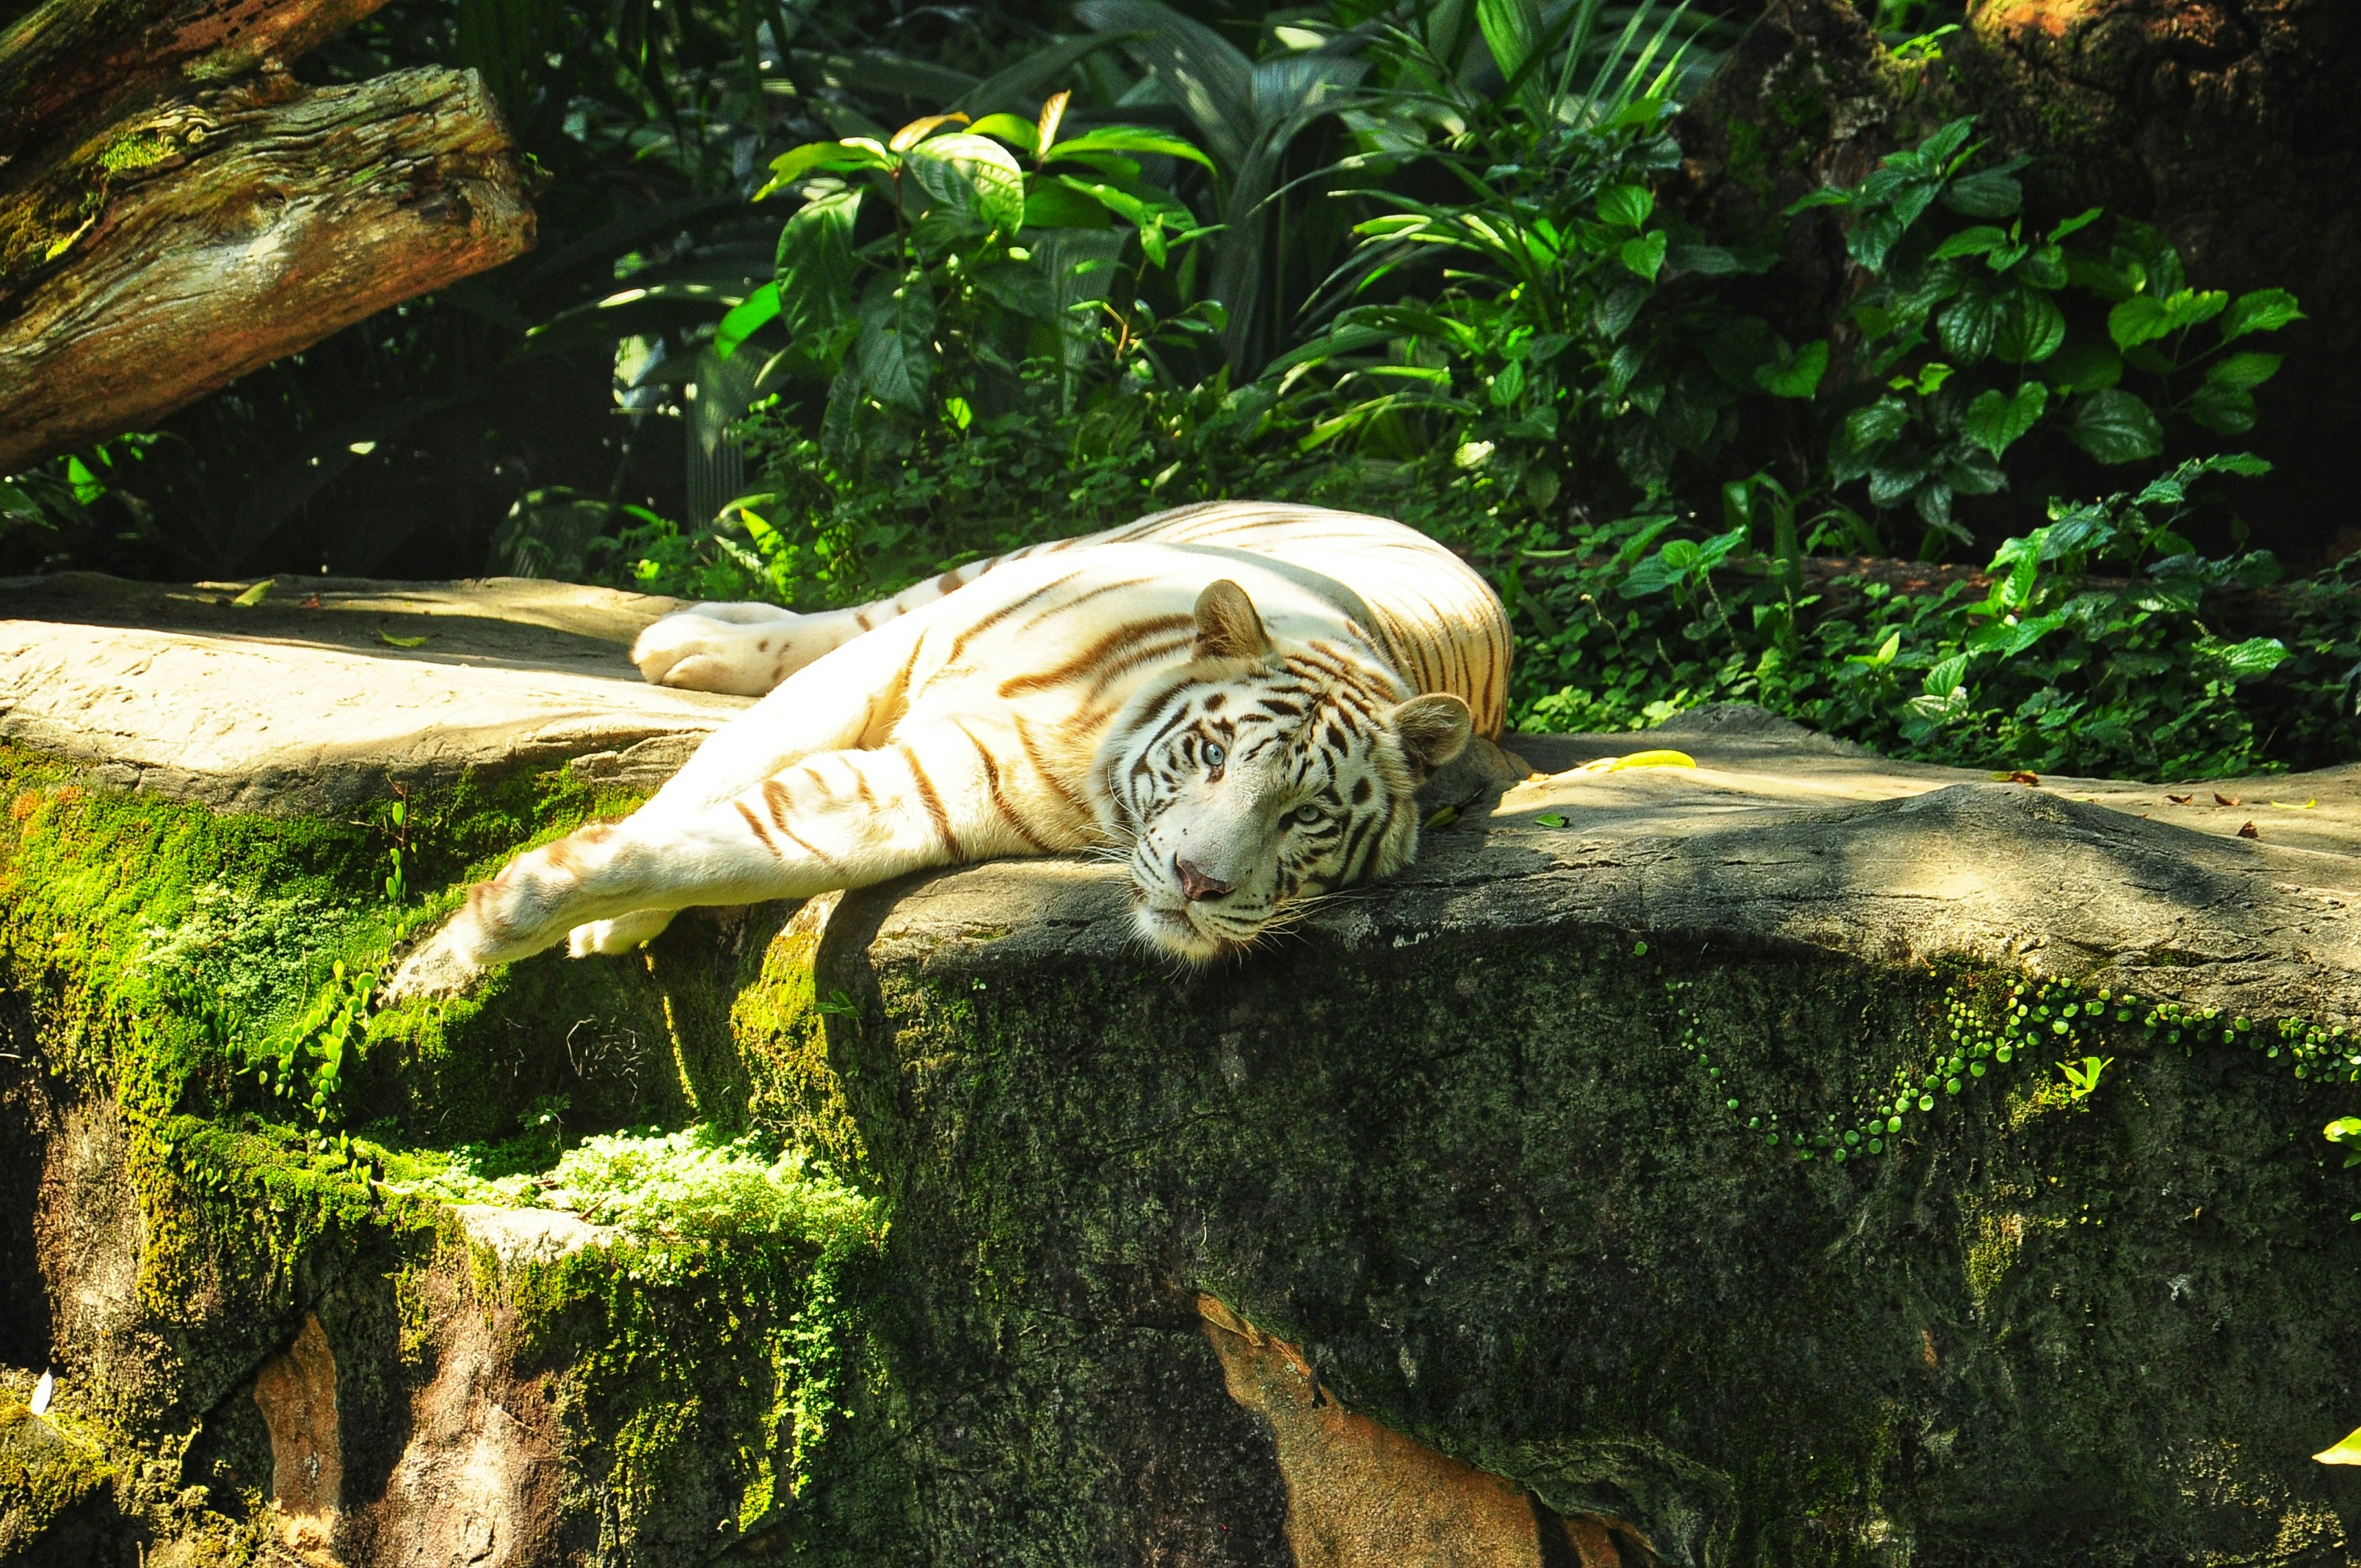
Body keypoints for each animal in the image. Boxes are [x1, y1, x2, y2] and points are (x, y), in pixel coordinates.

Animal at [384, 501, 1513, 999]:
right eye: (1212, 757)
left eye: (1306, 815)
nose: (1200, 884)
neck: (1095, 729)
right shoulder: (884, 665)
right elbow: (712, 778)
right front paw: (468, 947)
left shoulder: (928, 793)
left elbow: (731, 841)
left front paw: (552, 923)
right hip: (986, 573)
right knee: (838, 617)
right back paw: (688, 640)